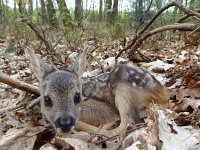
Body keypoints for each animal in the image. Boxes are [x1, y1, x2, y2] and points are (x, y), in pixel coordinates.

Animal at [27, 49, 169, 143]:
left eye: (77, 97)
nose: (65, 123)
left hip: (122, 91)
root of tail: (163, 91)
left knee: (125, 125)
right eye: (47, 99)